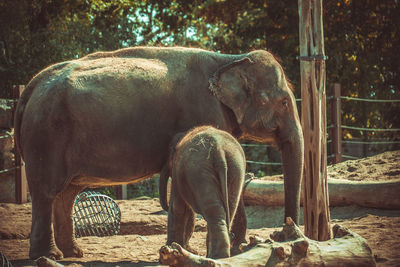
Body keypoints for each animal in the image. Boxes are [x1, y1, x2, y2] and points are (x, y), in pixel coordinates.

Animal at [164, 125, 245, 260]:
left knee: (214, 212)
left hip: (199, 172)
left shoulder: (177, 173)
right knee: (228, 208)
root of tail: (219, 150)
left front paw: (170, 248)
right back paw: (217, 256)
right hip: (235, 169)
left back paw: (217, 256)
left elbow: (178, 207)